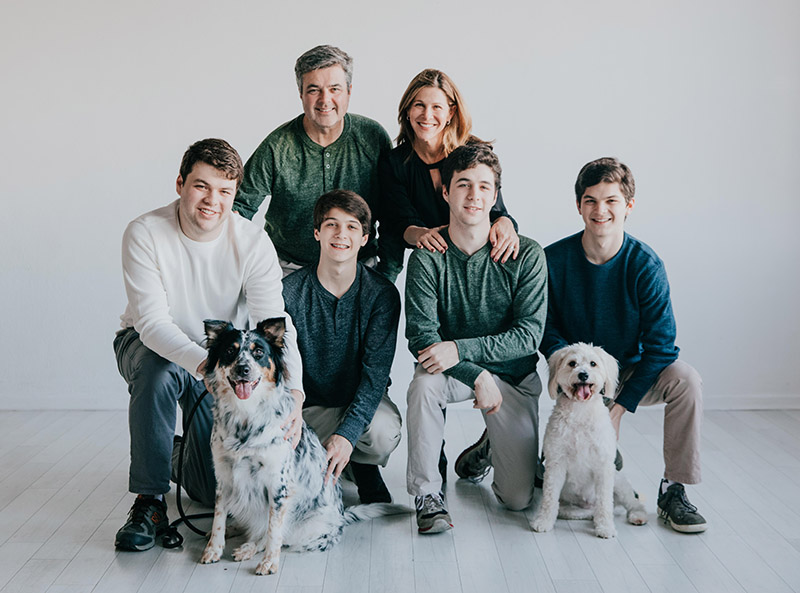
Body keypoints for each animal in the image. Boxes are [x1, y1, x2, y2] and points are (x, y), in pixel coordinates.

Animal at [532, 340, 648, 540]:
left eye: (593, 363)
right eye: (572, 363)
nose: (583, 374)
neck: (580, 410)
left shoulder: (604, 466)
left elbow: (605, 502)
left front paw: (606, 528)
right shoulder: (556, 463)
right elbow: (549, 499)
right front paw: (543, 521)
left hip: (619, 482)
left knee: (631, 503)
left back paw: (636, 515)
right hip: (569, 506)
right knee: (578, 512)